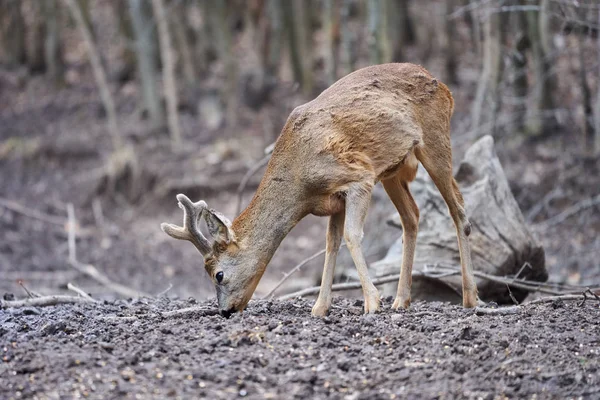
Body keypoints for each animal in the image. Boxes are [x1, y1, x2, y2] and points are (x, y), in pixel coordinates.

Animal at [159, 64, 478, 318]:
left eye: (219, 274)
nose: (225, 311)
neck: (301, 183)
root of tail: (444, 87)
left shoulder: (358, 177)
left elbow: (351, 236)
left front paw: (372, 302)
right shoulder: (334, 200)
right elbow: (330, 244)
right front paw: (320, 308)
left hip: (435, 139)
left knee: (458, 209)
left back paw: (470, 298)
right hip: (393, 170)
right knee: (411, 216)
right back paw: (402, 300)